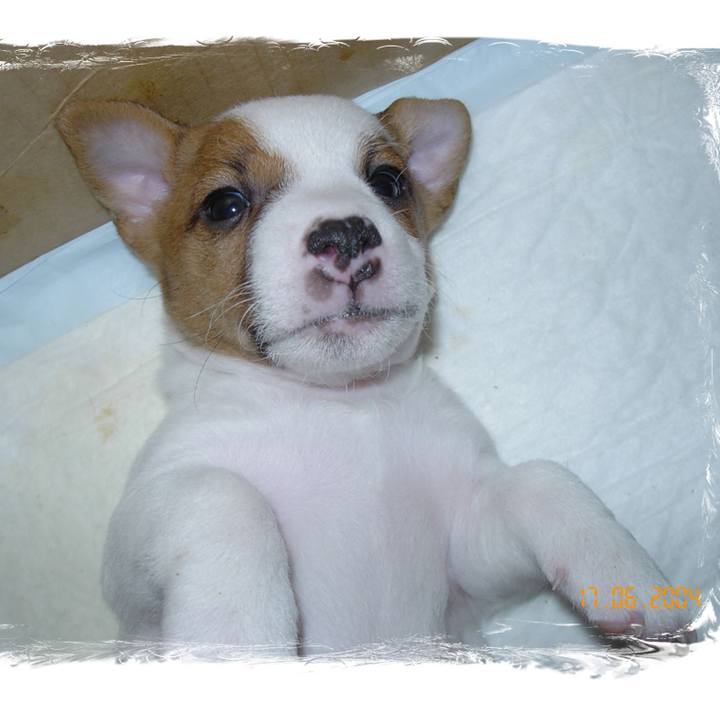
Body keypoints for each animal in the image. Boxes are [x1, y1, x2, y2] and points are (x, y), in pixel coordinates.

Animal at [57, 93, 692, 656]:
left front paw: (622, 568)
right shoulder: (136, 565)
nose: (345, 233)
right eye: (223, 204)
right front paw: (237, 639)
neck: (341, 404)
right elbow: (222, 496)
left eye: (389, 182)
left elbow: (543, 479)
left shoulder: (467, 559)